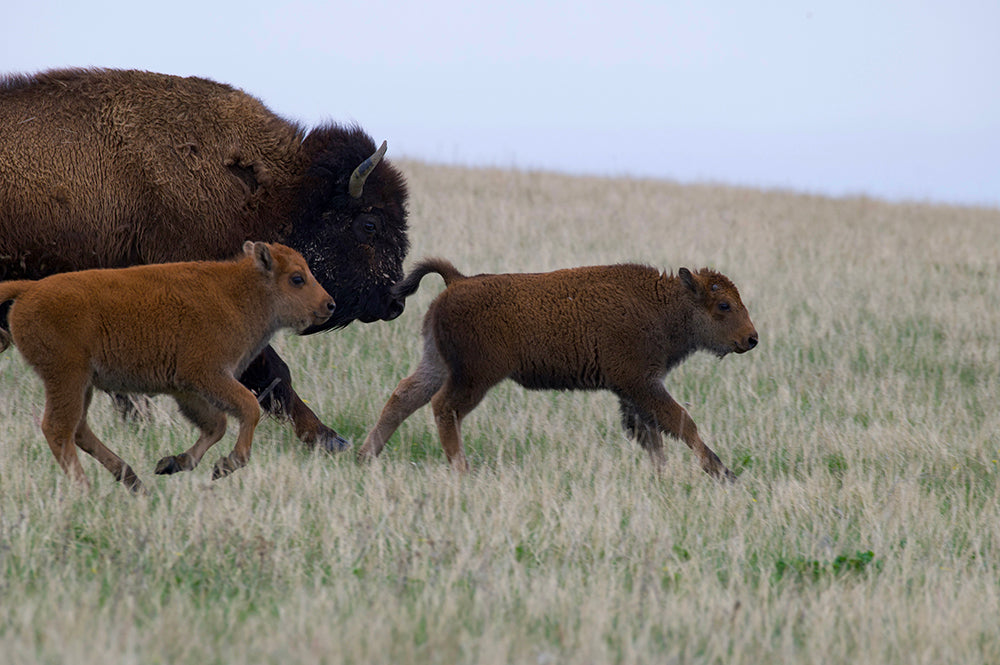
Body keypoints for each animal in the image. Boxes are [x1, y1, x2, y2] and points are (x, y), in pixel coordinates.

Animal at [0, 241, 336, 490]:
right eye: (297, 278)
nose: (329, 304)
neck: (238, 292)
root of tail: (29, 290)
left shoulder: (186, 388)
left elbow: (216, 424)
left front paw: (173, 463)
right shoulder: (208, 374)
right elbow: (247, 409)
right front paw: (226, 465)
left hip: (83, 384)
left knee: (78, 430)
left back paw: (133, 481)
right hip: (67, 377)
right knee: (58, 429)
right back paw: (87, 489)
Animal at [360, 256, 756, 480]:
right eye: (723, 305)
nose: (751, 338)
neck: (663, 304)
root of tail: (458, 280)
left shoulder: (633, 391)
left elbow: (652, 434)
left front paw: (663, 476)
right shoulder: (641, 383)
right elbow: (680, 423)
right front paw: (722, 472)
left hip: (437, 364)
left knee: (403, 398)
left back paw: (366, 455)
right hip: (474, 377)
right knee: (445, 408)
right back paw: (462, 470)